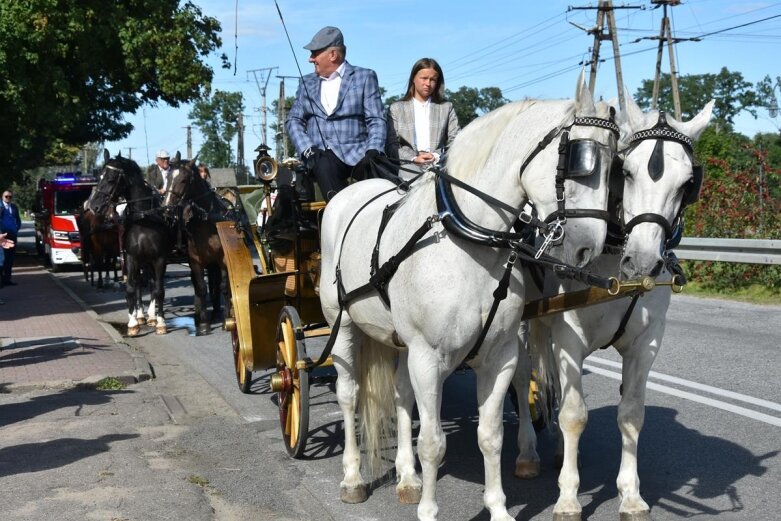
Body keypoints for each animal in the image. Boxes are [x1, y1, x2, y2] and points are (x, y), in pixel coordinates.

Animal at [320, 74, 620, 520]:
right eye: (579, 160)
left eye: (617, 165)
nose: (589, 249)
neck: (466, 240)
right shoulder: (428, 358)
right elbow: (432, 442)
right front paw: (429, 511)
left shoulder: (498, 356)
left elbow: (490, 435)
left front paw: (498, 509)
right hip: (341, 328)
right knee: (349, 395)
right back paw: (354, 479)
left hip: (399, 341)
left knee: (400, 396)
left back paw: (406, 478)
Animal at [516, 94, 708, 520]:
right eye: (627, 172)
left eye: (688, 184)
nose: (642, 263)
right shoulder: (568, 335)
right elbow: (574, 415)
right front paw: (568, 498)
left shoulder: (647, 342)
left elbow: (631, 415)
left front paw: (631, 495)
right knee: (521, 381)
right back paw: (527, 453)